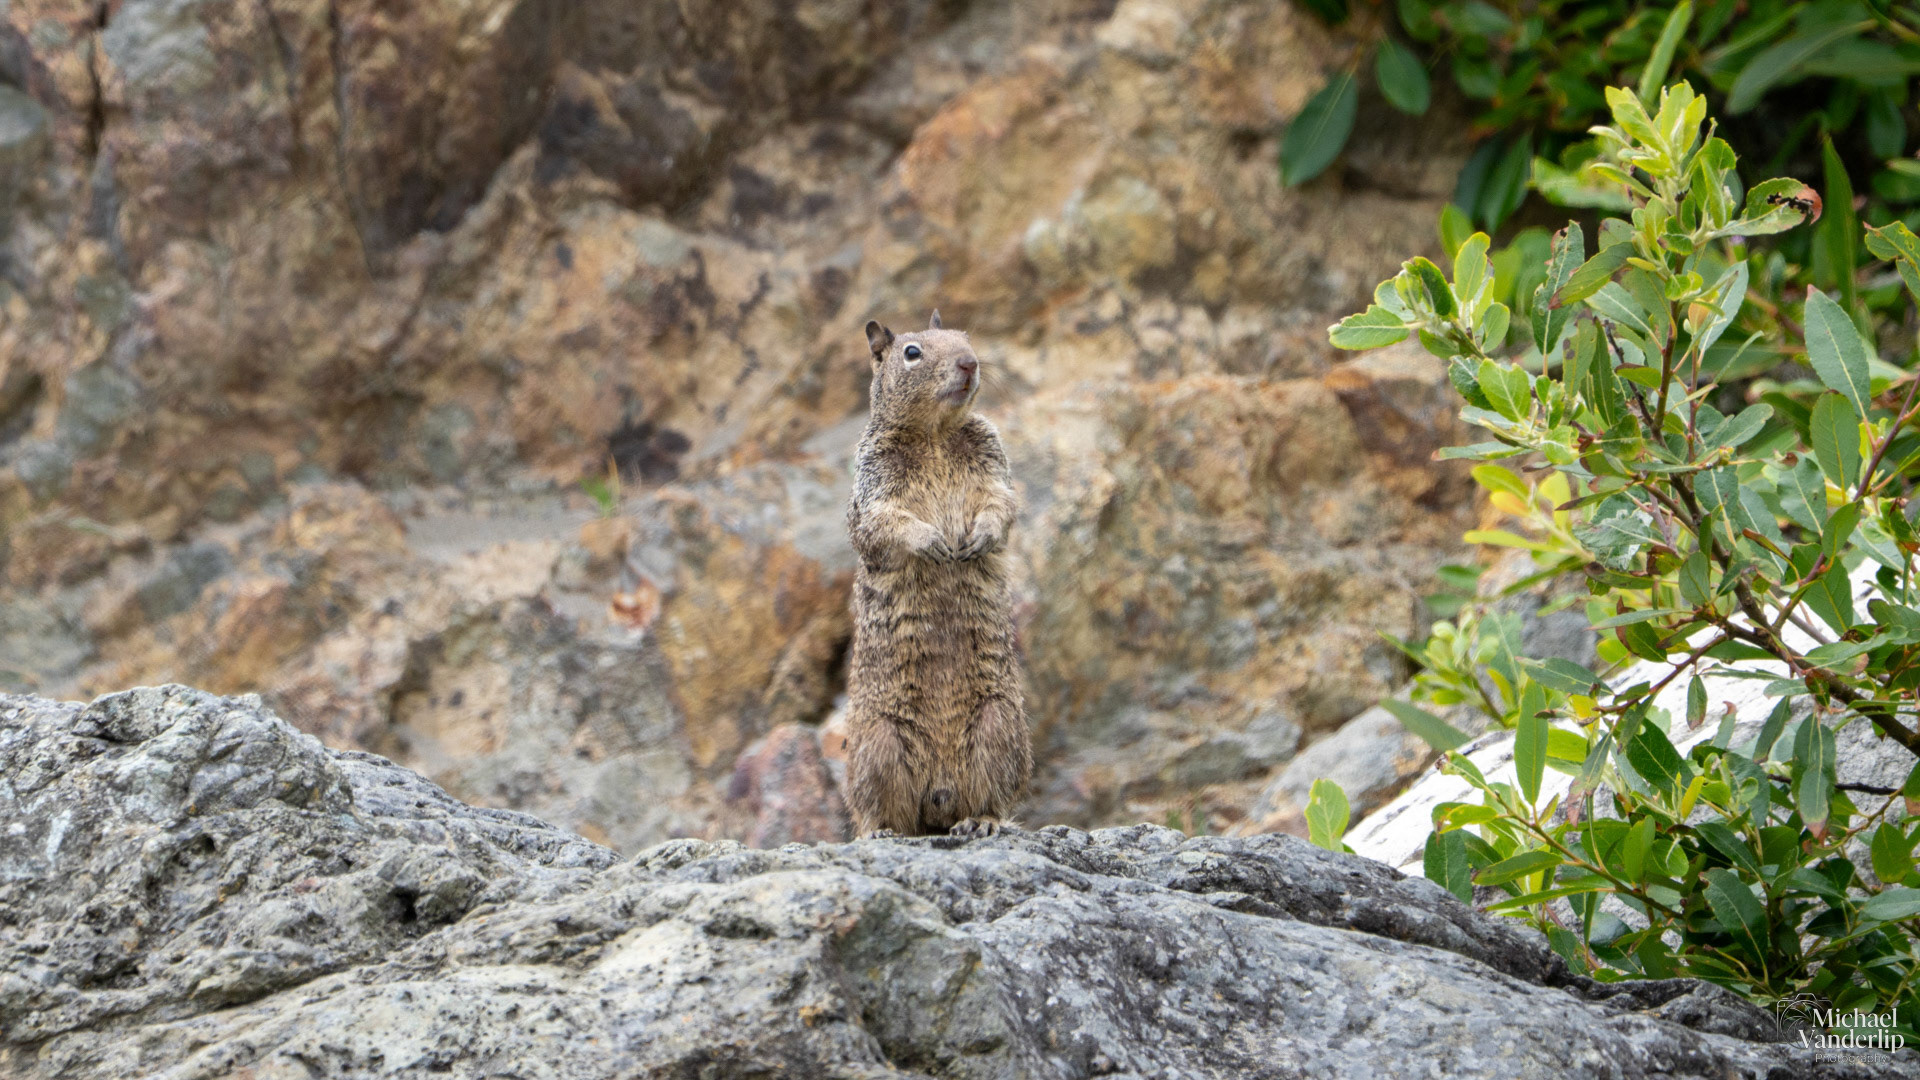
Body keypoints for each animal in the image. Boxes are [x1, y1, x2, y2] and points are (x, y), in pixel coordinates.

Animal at [843, 311, 1032, 838]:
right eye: (912, 352)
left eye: (965, 339)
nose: (969, 363)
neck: (935, 434)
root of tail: (939, 795)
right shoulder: (873, 483)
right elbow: (884, 523)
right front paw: (932, 541)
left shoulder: (994, 462)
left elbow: (1002, 503)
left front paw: (979, 537)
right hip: (877, 743)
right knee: (878, 809)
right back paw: (881, 830)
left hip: (999, 724)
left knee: (990, 795)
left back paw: (981, 821)